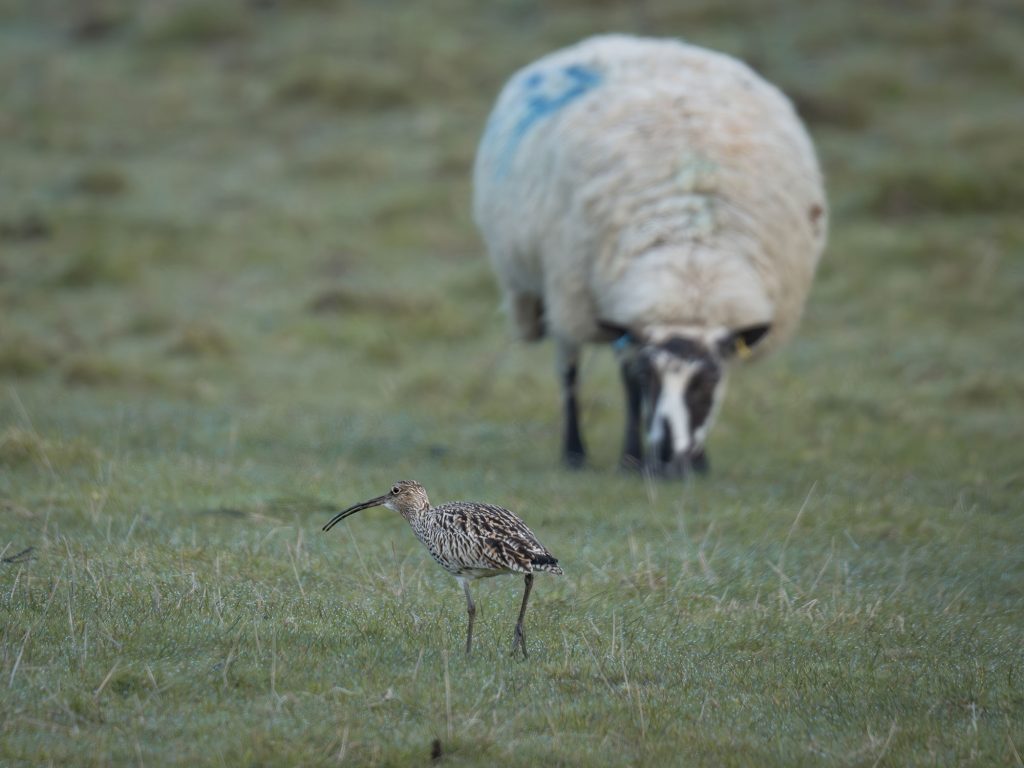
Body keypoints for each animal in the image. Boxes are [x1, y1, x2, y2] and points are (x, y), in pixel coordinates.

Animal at [472, 34, 828, 476]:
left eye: (708, 381)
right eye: (649, 378)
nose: (670, 459)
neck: (690, 255)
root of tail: (620, 42)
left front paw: (698, 463)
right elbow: (624, 382)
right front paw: (631, 457)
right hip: (561, 290)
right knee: (568, 366)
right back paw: (575, 453)